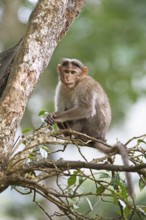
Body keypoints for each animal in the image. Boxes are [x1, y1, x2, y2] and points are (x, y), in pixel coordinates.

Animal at [45, 58, 133, 196]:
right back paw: (66, 132)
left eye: (73, 72)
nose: (67, 77)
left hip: (90, 129)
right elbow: (60, 108)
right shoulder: (61, 87)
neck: (75, 84)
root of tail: (99, 137)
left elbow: (86, 109)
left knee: (87, 113)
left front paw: (56, 117)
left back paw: (72, 133)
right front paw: (53, 115)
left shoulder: (84, 87)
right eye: (66, 71)